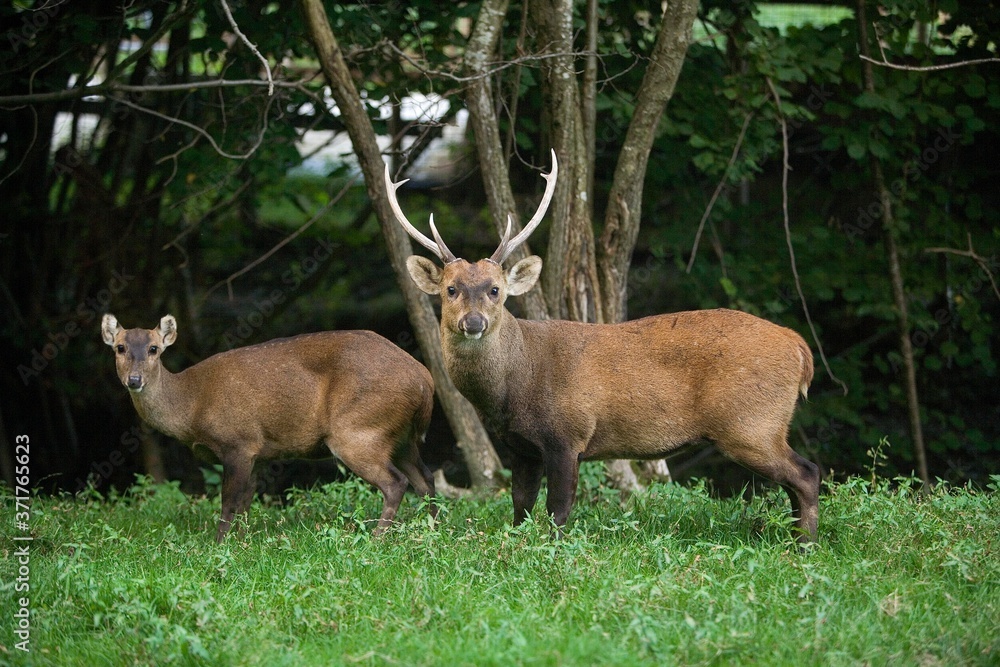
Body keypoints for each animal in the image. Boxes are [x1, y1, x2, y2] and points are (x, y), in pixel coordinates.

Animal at [102, 313, 437, 542]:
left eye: (154, 349)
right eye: (119, 347)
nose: (134, 380)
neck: (192, 406)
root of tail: (424, 379)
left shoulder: (238, 442)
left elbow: (229, 502)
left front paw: (217, 544)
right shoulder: (259, 453)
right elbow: (245, 502)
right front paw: (241, 541)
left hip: (357, 429)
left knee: (396, 483)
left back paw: (377, 539)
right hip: (401, 437)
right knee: (426, 479)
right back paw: (434, 530)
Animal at [386, 151, 820, 542]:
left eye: (495, 290)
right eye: (450, 289)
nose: (473, 323)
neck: (513, 387)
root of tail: (800, 348)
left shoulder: (568, 434)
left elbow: (558, 511)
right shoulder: (521, 447)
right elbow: (520, 507)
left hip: (751, 422)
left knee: (807, 473)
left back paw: (805, 546)